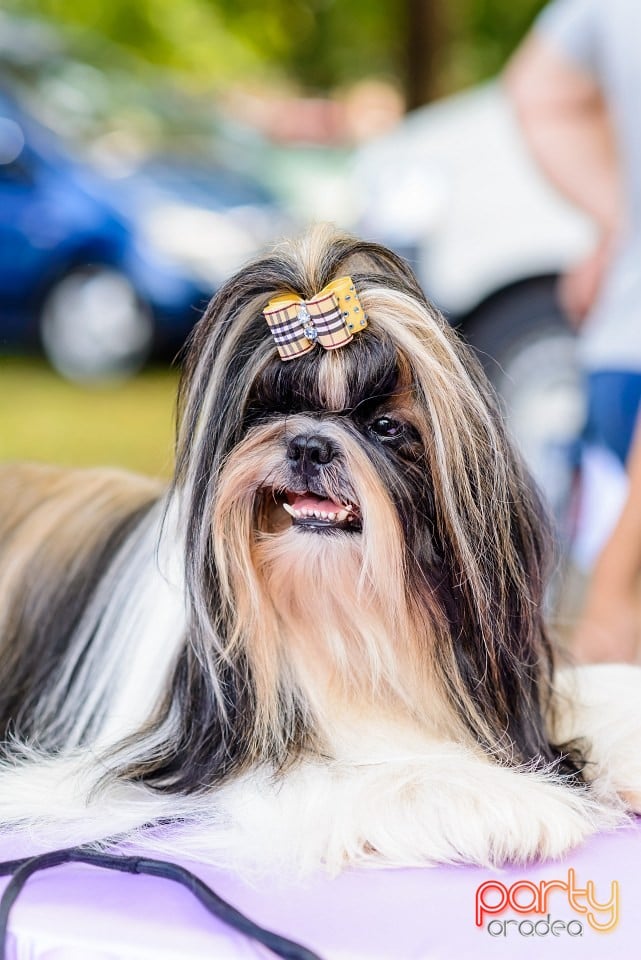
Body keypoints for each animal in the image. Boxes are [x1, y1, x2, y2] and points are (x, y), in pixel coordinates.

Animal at [1, 227, 640, 876]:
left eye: (386, 426)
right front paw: (502, 798)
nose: (308, 445)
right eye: (269, 409)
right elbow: (355, 774)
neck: (343, 623)